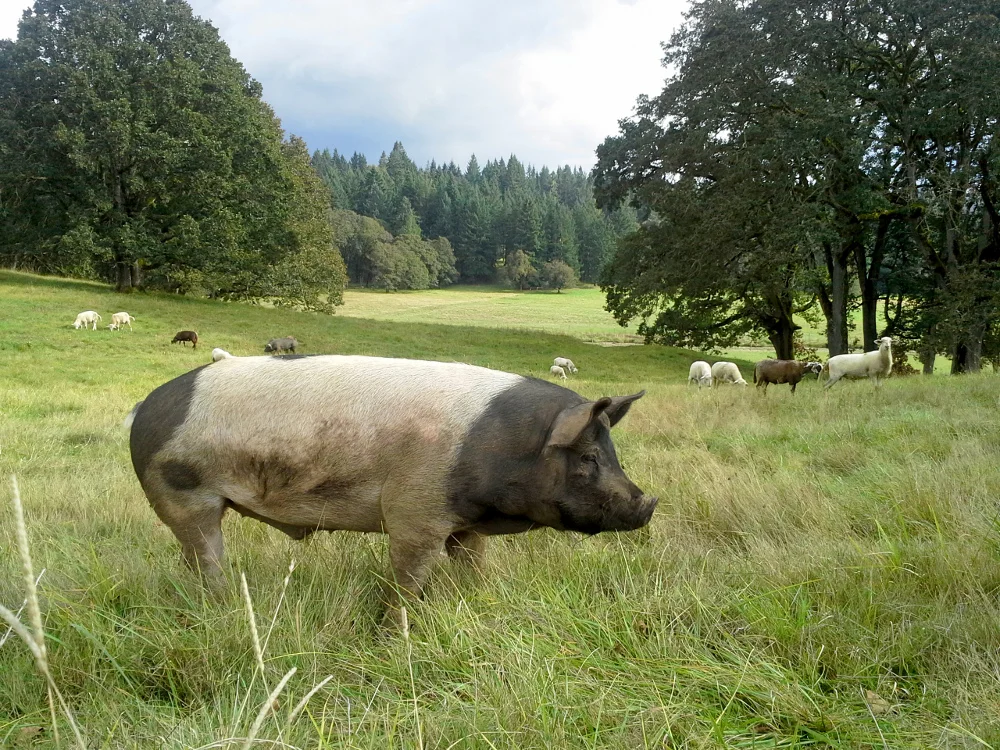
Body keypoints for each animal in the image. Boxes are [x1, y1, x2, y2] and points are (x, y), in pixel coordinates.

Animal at [128, 355, 657, 626]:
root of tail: (143, 407)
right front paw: (395, 634)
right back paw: (225, 608)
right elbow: (408, 578)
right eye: (588, 458)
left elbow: (475, 563)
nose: (646, 503)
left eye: (610, 452)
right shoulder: (414, 511)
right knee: (206, 555)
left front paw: (481, 601)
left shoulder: (464, 524)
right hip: (183, 493)